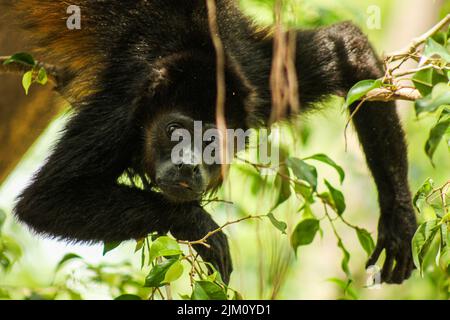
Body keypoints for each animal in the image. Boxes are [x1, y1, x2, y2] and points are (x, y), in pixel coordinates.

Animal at [7, 0, 416, 284]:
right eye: (174, 131)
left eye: (211, 143)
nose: (188, 165)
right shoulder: (121, 107)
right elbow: (46, 201)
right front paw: (195, 223)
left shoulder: (257, 83)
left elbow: (348, 51)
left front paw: (399, 220)